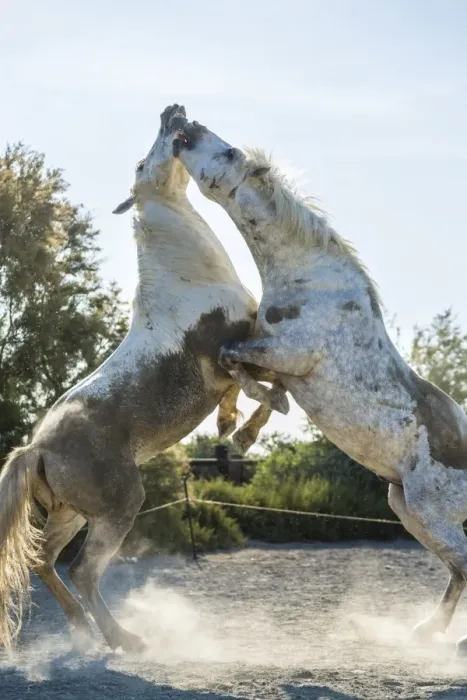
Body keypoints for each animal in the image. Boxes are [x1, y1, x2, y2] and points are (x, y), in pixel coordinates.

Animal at [0, 105, 285, 653]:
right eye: (140, 161)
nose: (172, 111)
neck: (189, 283)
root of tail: (37, 447)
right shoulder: (234, 348)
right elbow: (272, 388)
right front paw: (246, 431)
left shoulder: (233, 360)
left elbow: (247, 393)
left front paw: (229, 428)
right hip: (117, 508)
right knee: (83, 570)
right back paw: (123, 638)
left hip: (71, 512)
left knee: (44, 560)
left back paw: (84, 633)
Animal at [174, 119, 467, 655]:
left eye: (228, 153)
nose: (187, 126)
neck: (308, 279)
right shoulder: (277, 359)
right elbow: (241, 372)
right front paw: (239, 429)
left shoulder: (290, 355)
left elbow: (232, 358)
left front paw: (242, 429)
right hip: (406, 507)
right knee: (456, 572)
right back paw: (427, 632)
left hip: (432, 512)